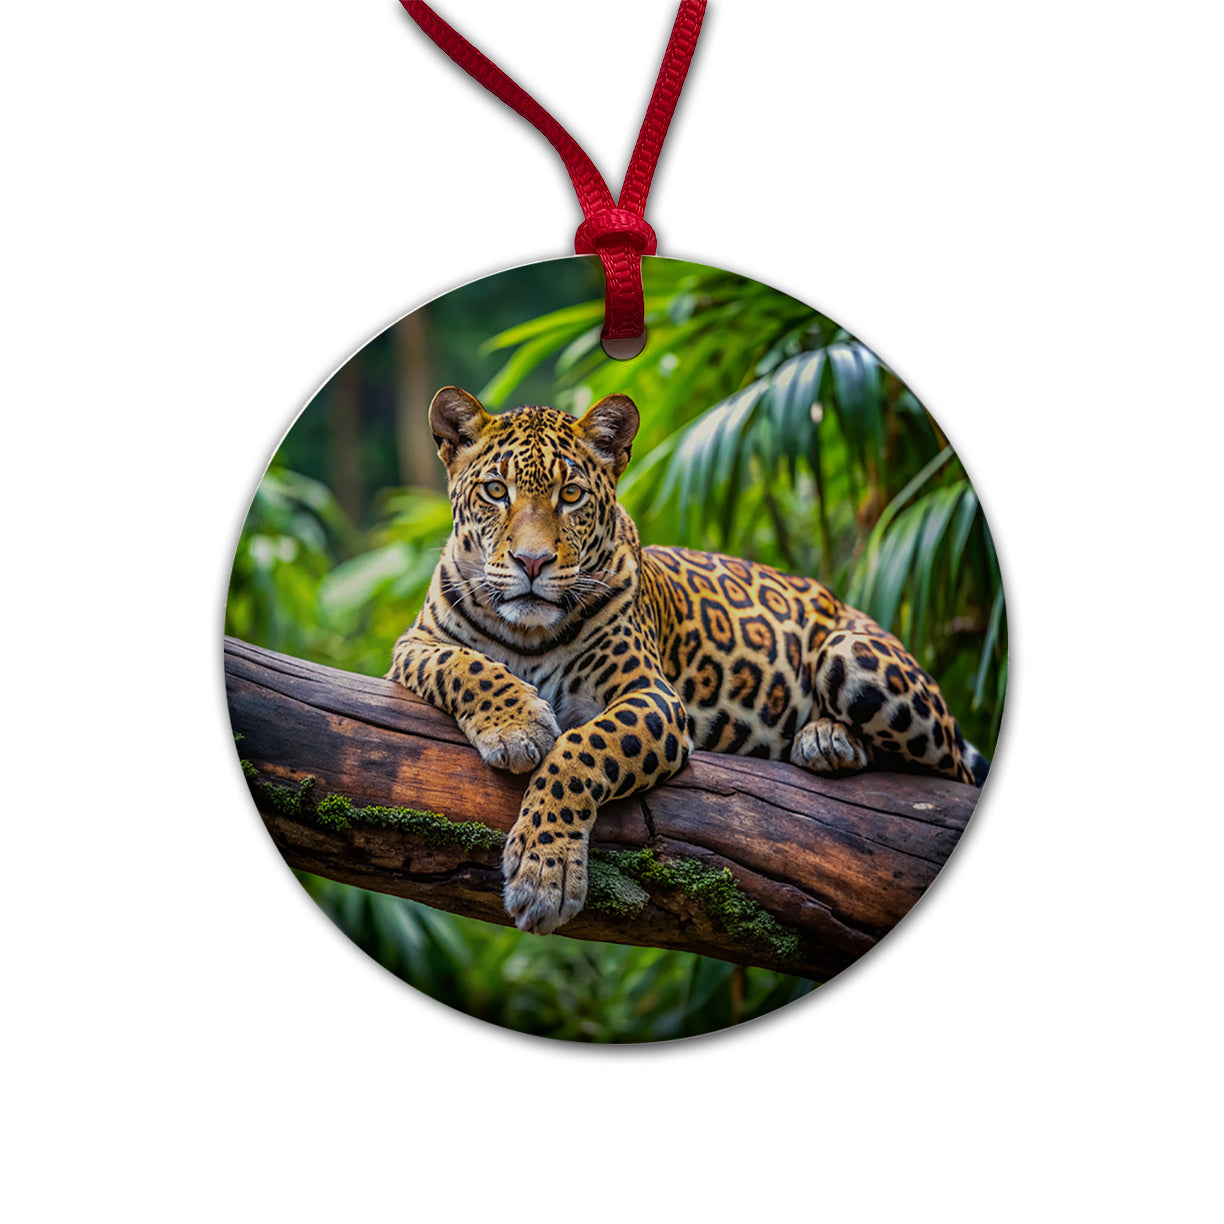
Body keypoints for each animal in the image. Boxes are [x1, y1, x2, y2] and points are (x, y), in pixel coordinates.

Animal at [389, 386, 988, 936]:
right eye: (495, 491)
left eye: (571, 495)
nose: (531, 562)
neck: (528, 633)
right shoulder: (414, 647)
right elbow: (466, 666)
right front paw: (517, 725)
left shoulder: (653, 697)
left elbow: (580, 750)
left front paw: (545, 874)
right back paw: (826, 739)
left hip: (850, 652)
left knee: (947, 778)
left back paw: (830, 738)